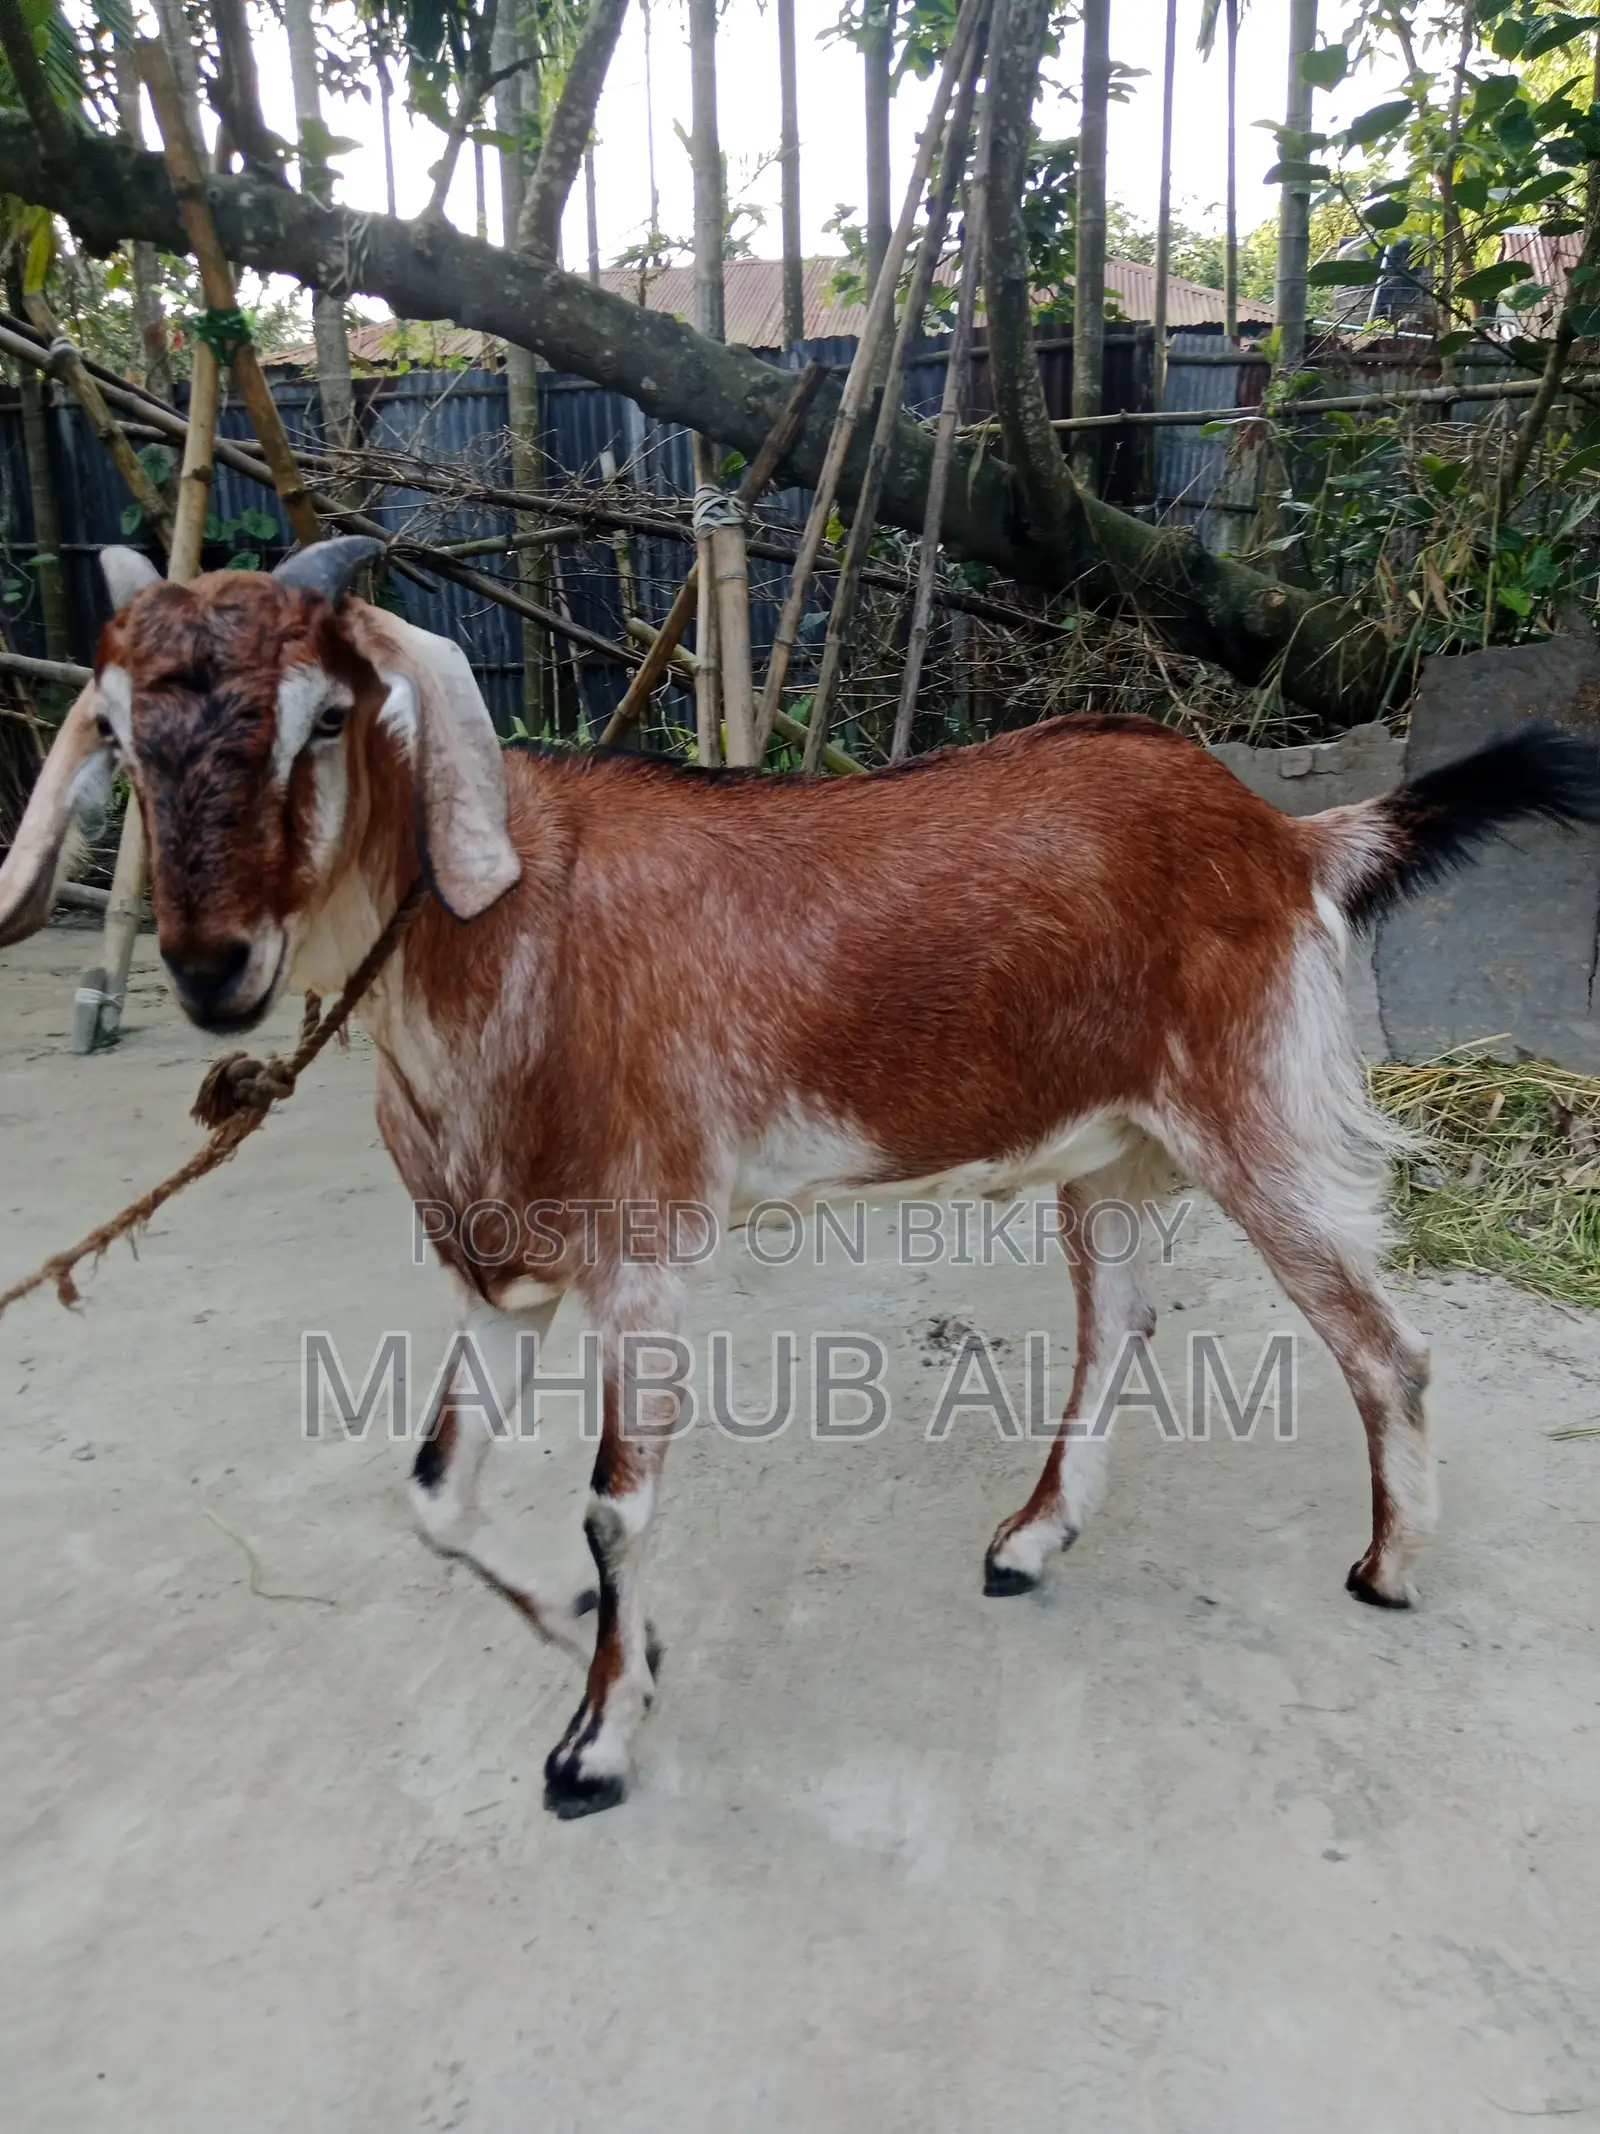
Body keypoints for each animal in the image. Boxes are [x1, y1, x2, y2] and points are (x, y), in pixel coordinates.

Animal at [4, 537, 1598, 1817]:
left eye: (324, 716)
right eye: (124, 739)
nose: (211, 969)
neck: (502, 934)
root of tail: (1287, 835)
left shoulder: (642, 1251)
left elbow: (613, 1504)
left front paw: (595, 1743)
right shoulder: (498, 1268)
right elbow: (433, 1492)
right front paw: (593, 1633)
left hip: (1253, 1110)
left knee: (1382, 1344)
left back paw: (1387, 1568)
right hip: (1110, 1148)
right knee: (1120, 1325)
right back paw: (1029, 1540)